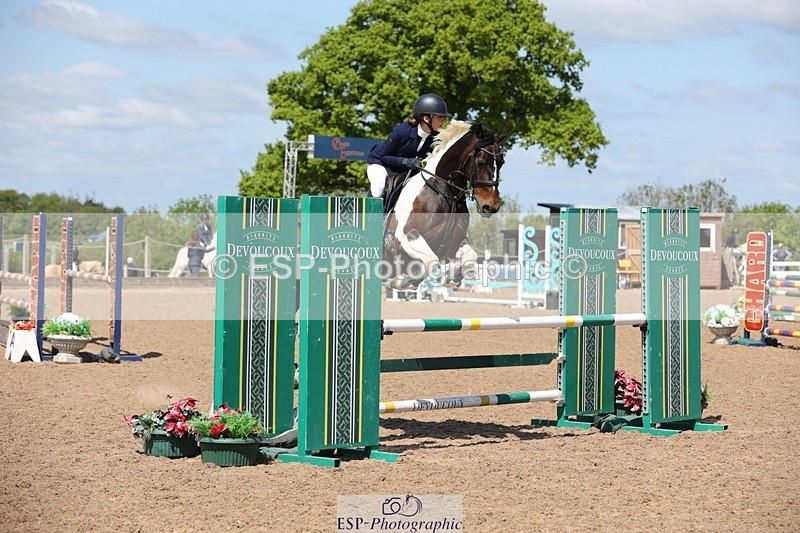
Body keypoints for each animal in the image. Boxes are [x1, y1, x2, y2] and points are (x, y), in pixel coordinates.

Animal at [383, 120, 510, 290]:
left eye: (502, 162)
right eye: (481, 162)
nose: (491, 207)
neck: (446, 192)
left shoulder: (454, 242)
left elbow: (470, 258)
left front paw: (450, 277)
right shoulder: (405, 236)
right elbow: (431, 260)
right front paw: (403, 280)